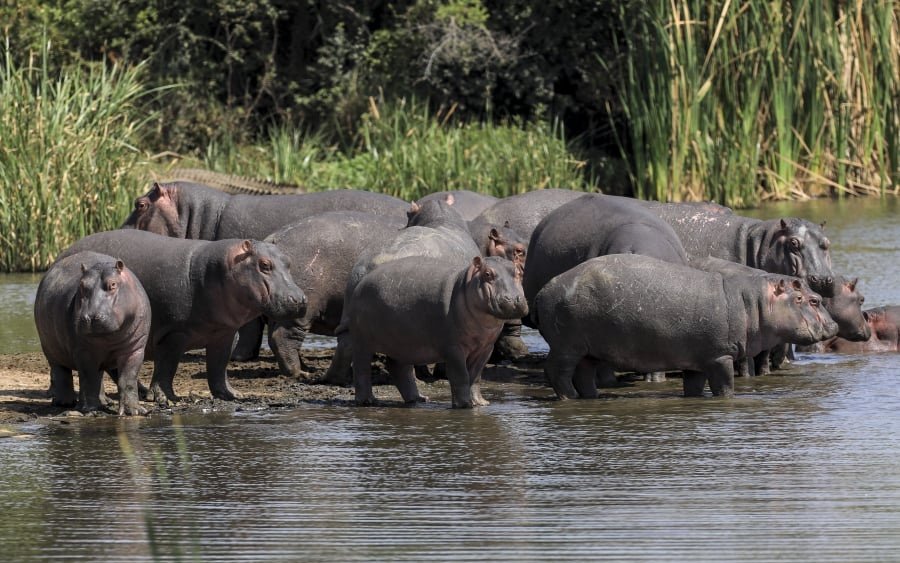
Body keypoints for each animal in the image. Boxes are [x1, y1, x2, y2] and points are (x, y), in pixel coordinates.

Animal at [33, 253, 151, 416]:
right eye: (82, 285)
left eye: (113, 284)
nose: (90, 317)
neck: (109, 337)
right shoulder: (83, 351)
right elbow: (89, 379)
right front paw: (90, 410)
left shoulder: (135, 348)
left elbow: (128, 379)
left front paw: (134, 411)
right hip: (50, 349)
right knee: (61, 373)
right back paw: (65, 402)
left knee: (98, 377)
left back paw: (105, 402)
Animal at [59, 230, 308, 406]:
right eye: (264, 264)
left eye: (288, 262)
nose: (299, 299)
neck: (219, 269)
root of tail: (64, 252)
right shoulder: (174, 333)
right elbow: (167, 366)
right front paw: (165, 398)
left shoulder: (224, 334)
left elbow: (219, 367)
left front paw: (233, 395)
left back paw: (140, 391)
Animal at [342, 256, 528, 410]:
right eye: (488, 274)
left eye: (519, 272)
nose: (514, 299)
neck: (465, 284)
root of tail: (361, 282)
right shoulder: (453, 348)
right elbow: (460, 375)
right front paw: (465, 405)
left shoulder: (485, 348)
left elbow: (475, 377)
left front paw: (481, 403)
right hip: (362, 341)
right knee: (361, 367)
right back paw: (367, 401)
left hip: (403, 343)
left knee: (398, 367)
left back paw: (419, 399)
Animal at [536, 253, 836, 398]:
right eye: (809, 299)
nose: (833, 326)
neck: (754, 303)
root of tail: (544, 289)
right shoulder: (719, 356)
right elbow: (724, 387)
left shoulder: (697, 361)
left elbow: (693, 388)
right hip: (567, 346)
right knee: (557, 371)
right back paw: (569, 398)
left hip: (588, 350)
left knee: (584, 375)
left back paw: (590, 398)